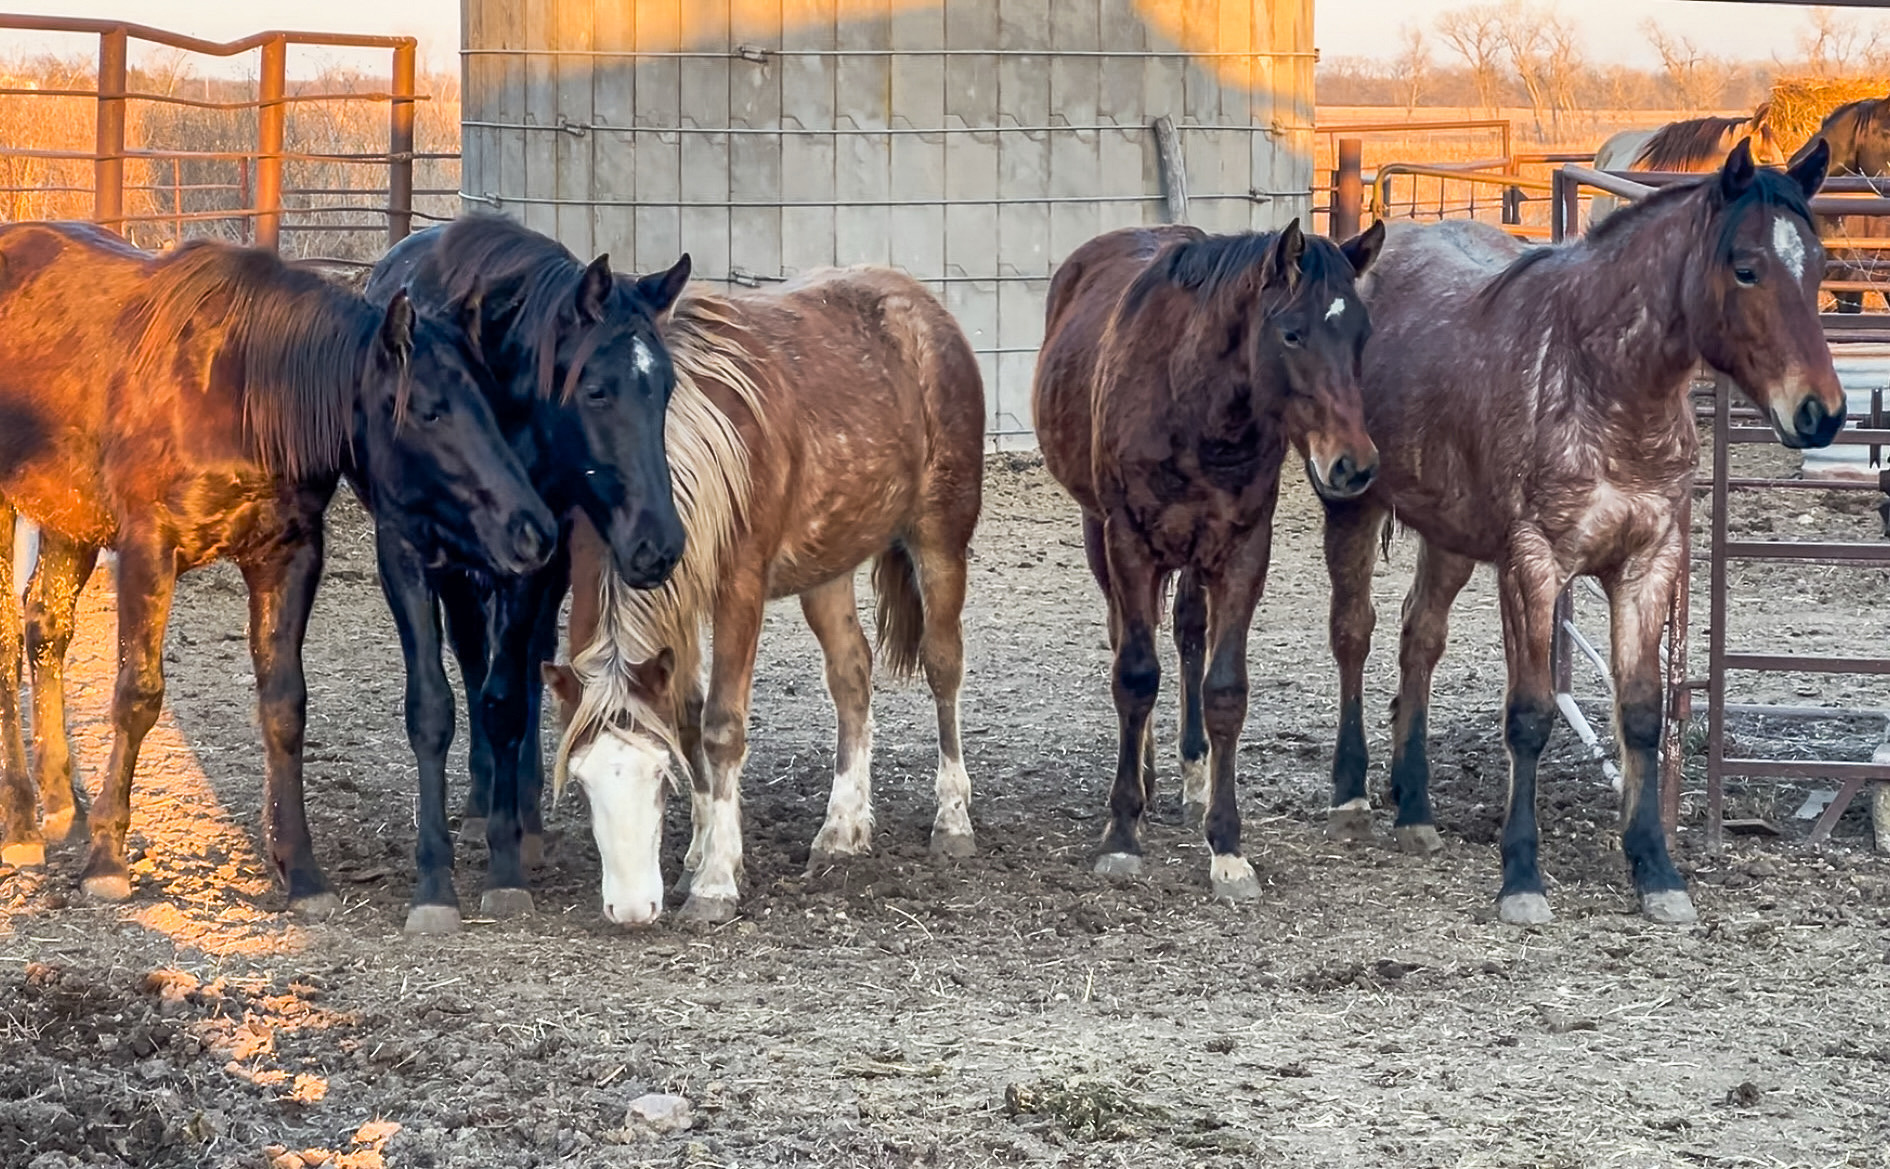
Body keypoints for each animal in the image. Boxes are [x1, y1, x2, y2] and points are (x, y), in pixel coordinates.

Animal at [0, 223, 554, 911]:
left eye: (494, 405)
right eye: (429, 409)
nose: (533, 529)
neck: (239, 393)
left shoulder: (288, 555)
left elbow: (285, 705)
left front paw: (301, 868)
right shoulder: (147, 549)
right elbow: (137, 694)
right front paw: (107, 859)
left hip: (69, 519)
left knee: (44, 628)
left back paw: (60, 803)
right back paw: (20, 821)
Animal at [363, 216, 690, 934]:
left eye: (666, 387)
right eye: (596, 389)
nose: (658, 544)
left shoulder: (536, 558)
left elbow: (508, 700)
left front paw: (507, 864)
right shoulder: (404, 553)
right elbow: (434, 705)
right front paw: (435, 881)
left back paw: (523, 814)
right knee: (471, 658)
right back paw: (485, 797)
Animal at [543, 266, 985, 926]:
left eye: (660, 780)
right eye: (582, 782)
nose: (632, 910)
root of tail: (921, 302)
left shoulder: (737, 590)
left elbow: (721, 726)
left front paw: (715, 881)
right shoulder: (677, 602)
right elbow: (686, 716)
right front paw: (699, 853)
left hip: (940, 537)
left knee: (943, 665)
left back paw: (952, 819)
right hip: (829, 561)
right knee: (852, 674)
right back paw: (841, 827)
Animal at [1032, 218, 1385, 900]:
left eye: (1362, 333)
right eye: (1292, 332)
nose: (1352, 465)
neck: (1193, 403)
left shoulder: (1243, 548)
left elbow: (1224, 688)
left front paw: (1226, 846)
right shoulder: (1128, 540)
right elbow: (1136, 675)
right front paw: (1122, 833)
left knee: (1189, 635)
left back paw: (1191, 771)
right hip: (1098, 531)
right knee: (1125, 635)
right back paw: (1142, 774)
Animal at [1320, 141, 1840, 926]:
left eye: (1816, 265)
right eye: (1746, 267)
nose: (1820, 413)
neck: (1603, 384)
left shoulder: (1648, 564)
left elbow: (1643, 713)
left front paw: (1656, 871)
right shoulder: (1533, 567)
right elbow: (1530, 716)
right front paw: (1521, 878)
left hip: (1450, 533)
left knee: (1419, 637)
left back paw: (1415, 808)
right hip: (1351, 504)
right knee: (1354, 631)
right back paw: (1351, 797)